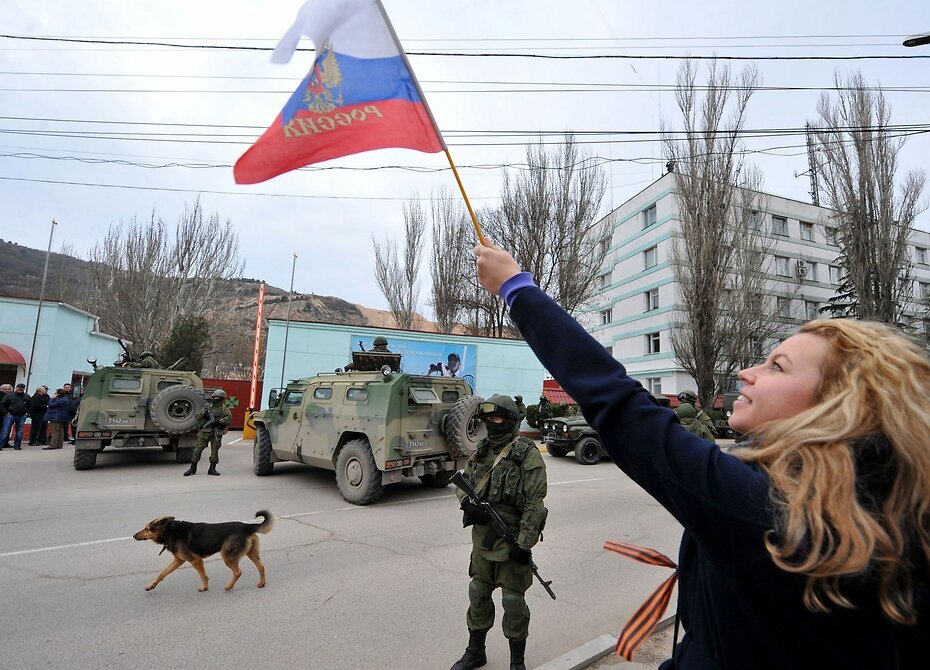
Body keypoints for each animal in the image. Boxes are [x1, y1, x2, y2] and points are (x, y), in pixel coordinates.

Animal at [132, 510, 274, 592]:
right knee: (261, 566)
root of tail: (247, 526)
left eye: (147, 529)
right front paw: (151, 585)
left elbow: (202, 576)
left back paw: (229, 586)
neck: (169, 531)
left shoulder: (195, 561)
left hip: (226, 556)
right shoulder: (178, 561)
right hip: (252, 553)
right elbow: (162, 573)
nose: (133, 536)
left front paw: (204, 587)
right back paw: (262, 583)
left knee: (238, 572)